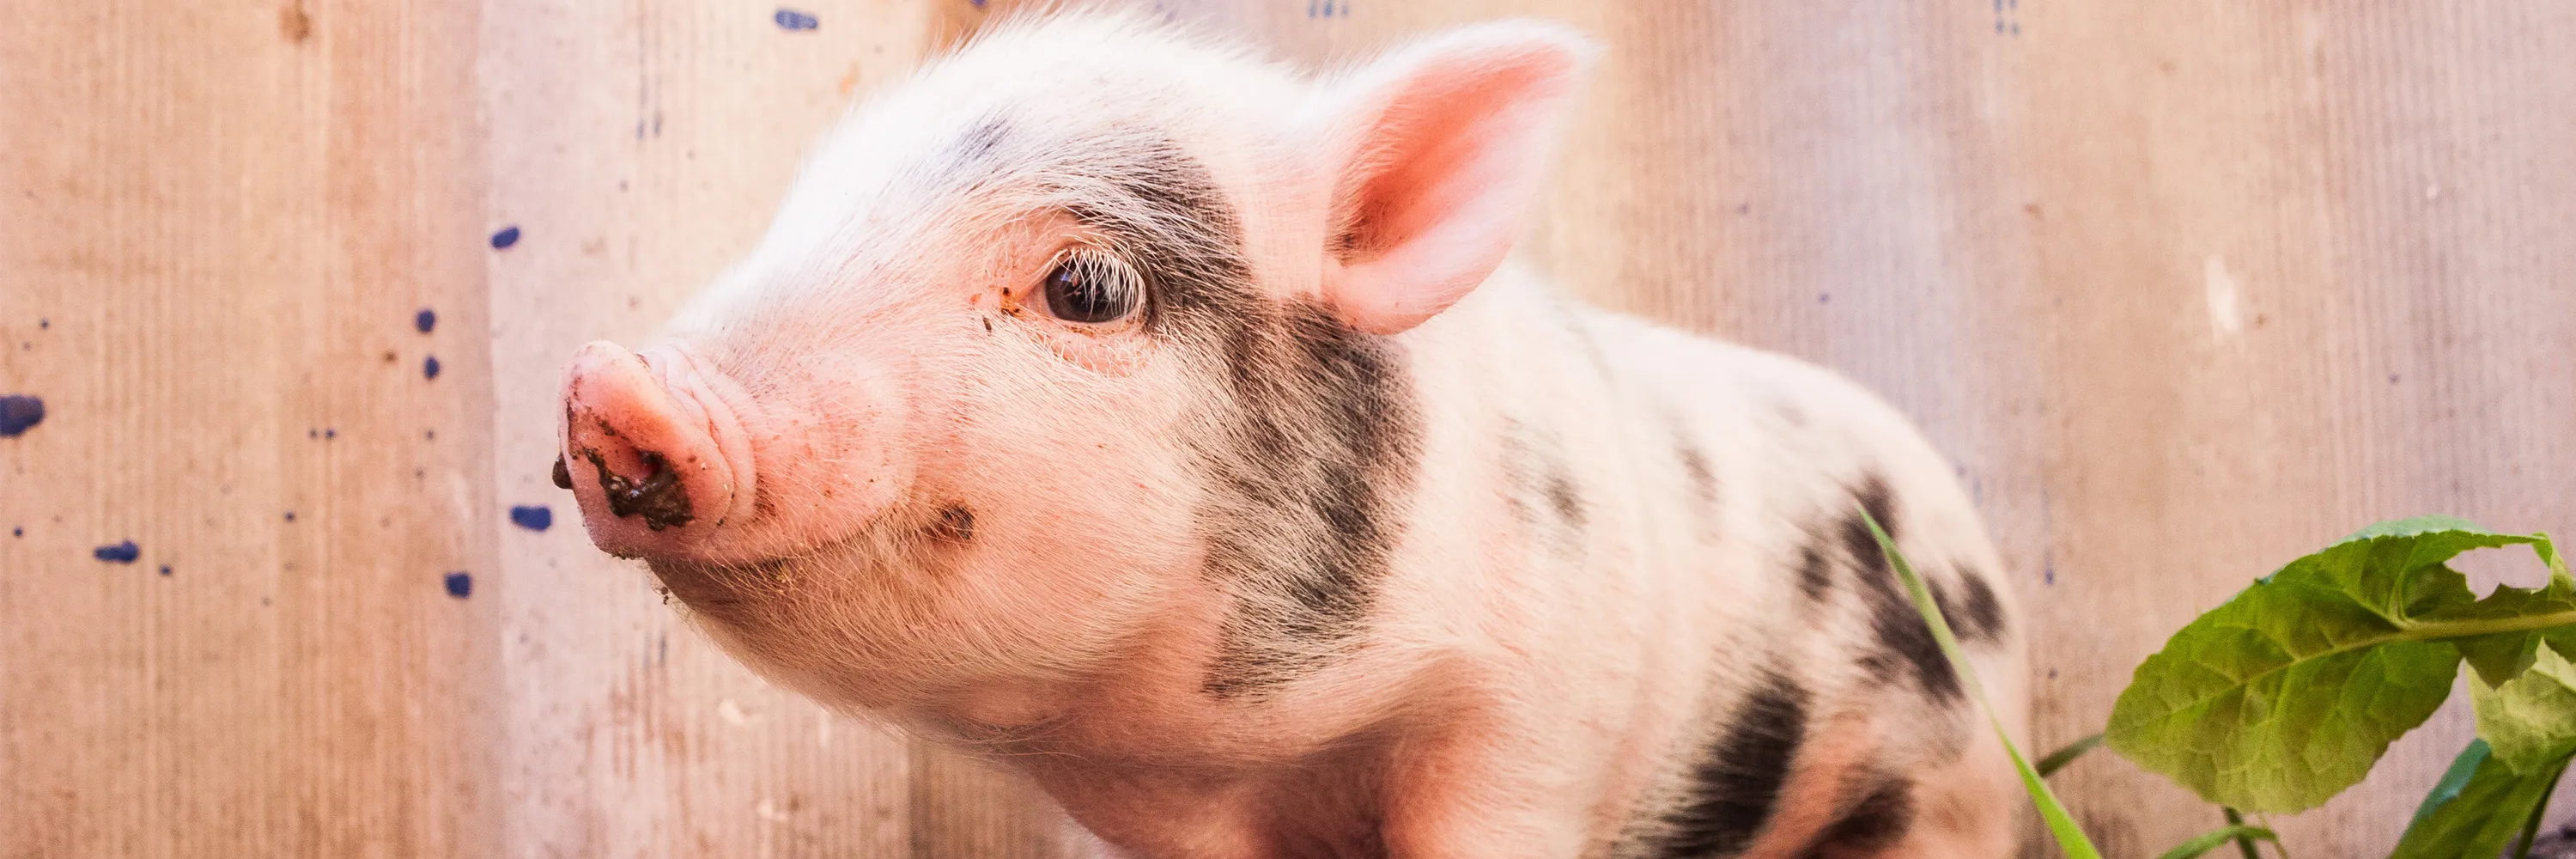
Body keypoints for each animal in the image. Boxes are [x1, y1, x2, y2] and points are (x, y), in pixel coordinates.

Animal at [554, 11, 2029, 859]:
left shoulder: (1529, 728)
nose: (612, 384)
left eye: (1089, 287)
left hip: (1951, 787)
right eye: (803, 212)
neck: (1261, 756)